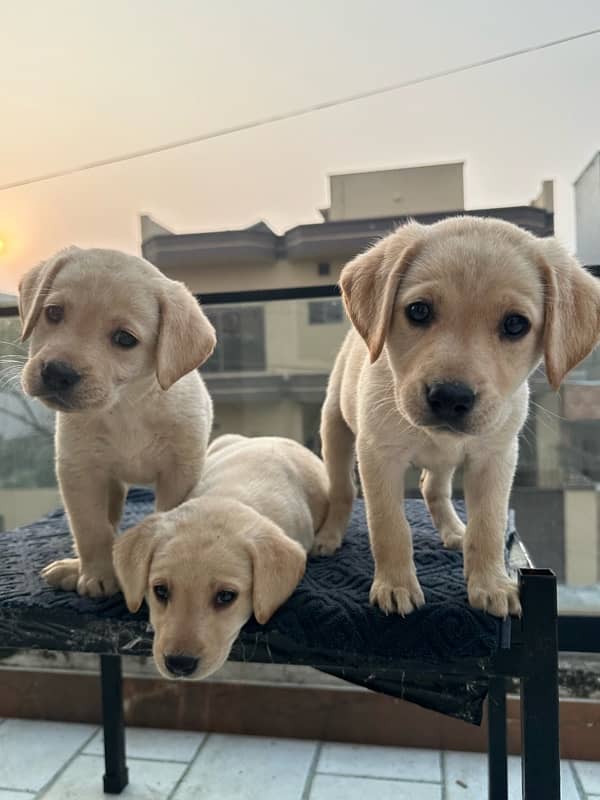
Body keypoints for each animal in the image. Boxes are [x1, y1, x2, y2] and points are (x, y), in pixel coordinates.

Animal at [18, 247, 216, 596]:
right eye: (53, 313)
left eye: (124, 339)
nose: (56, 372)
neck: (124, 408)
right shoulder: (80, 472)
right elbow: (91, 528)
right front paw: (97, 573)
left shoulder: (180, 472)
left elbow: (168, 519)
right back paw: (75, 566)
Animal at [314, 217, 600, 620]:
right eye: (418, 311)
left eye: (516, 324)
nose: (450, 398)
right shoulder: (379, 455)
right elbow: (389, 525)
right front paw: (395, 584)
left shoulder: (496, 457)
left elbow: (489, 525)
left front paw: (491, 584)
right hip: (335, 428)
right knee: (342, 490)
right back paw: (329, 535)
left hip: (446, 461)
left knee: (433, 488)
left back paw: (453, 531)